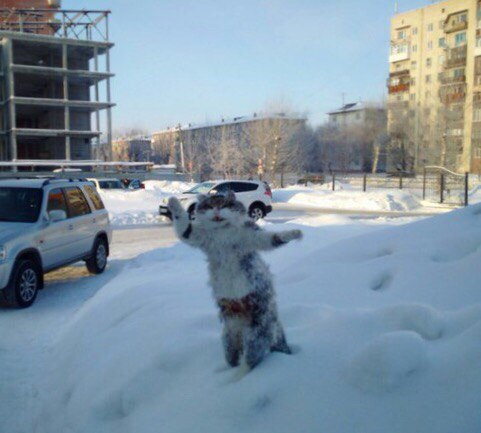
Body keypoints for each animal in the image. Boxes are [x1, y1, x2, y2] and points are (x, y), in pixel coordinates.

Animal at [168, 191, 300, 372]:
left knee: (251, 360)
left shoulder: (252, 236)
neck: (222, 232)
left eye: (224, 204)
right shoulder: (196, 235)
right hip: (229, 338)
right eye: (209, 206)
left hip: (257, 332)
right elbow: (184, 226)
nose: (216, 210)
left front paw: (294, 233)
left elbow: (273, 238)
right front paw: (173, 202)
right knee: (234, 359)